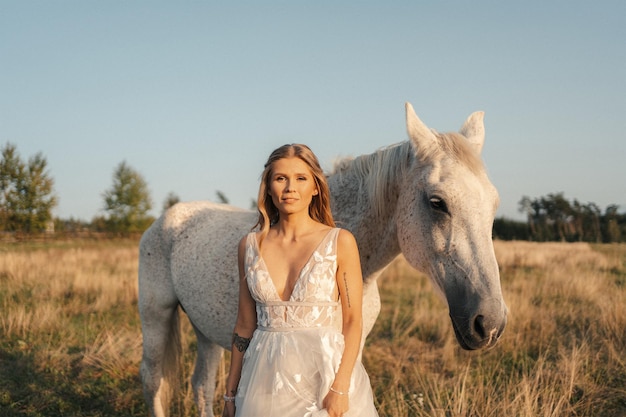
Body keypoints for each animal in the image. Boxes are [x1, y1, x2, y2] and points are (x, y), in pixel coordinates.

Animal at [138, 101, 508, 416]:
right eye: (437, 202)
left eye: (493, 204)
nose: (489, 324)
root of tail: (166, 219)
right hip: (156, 316)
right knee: (153, 380)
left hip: (205, 333)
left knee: (201, 385)